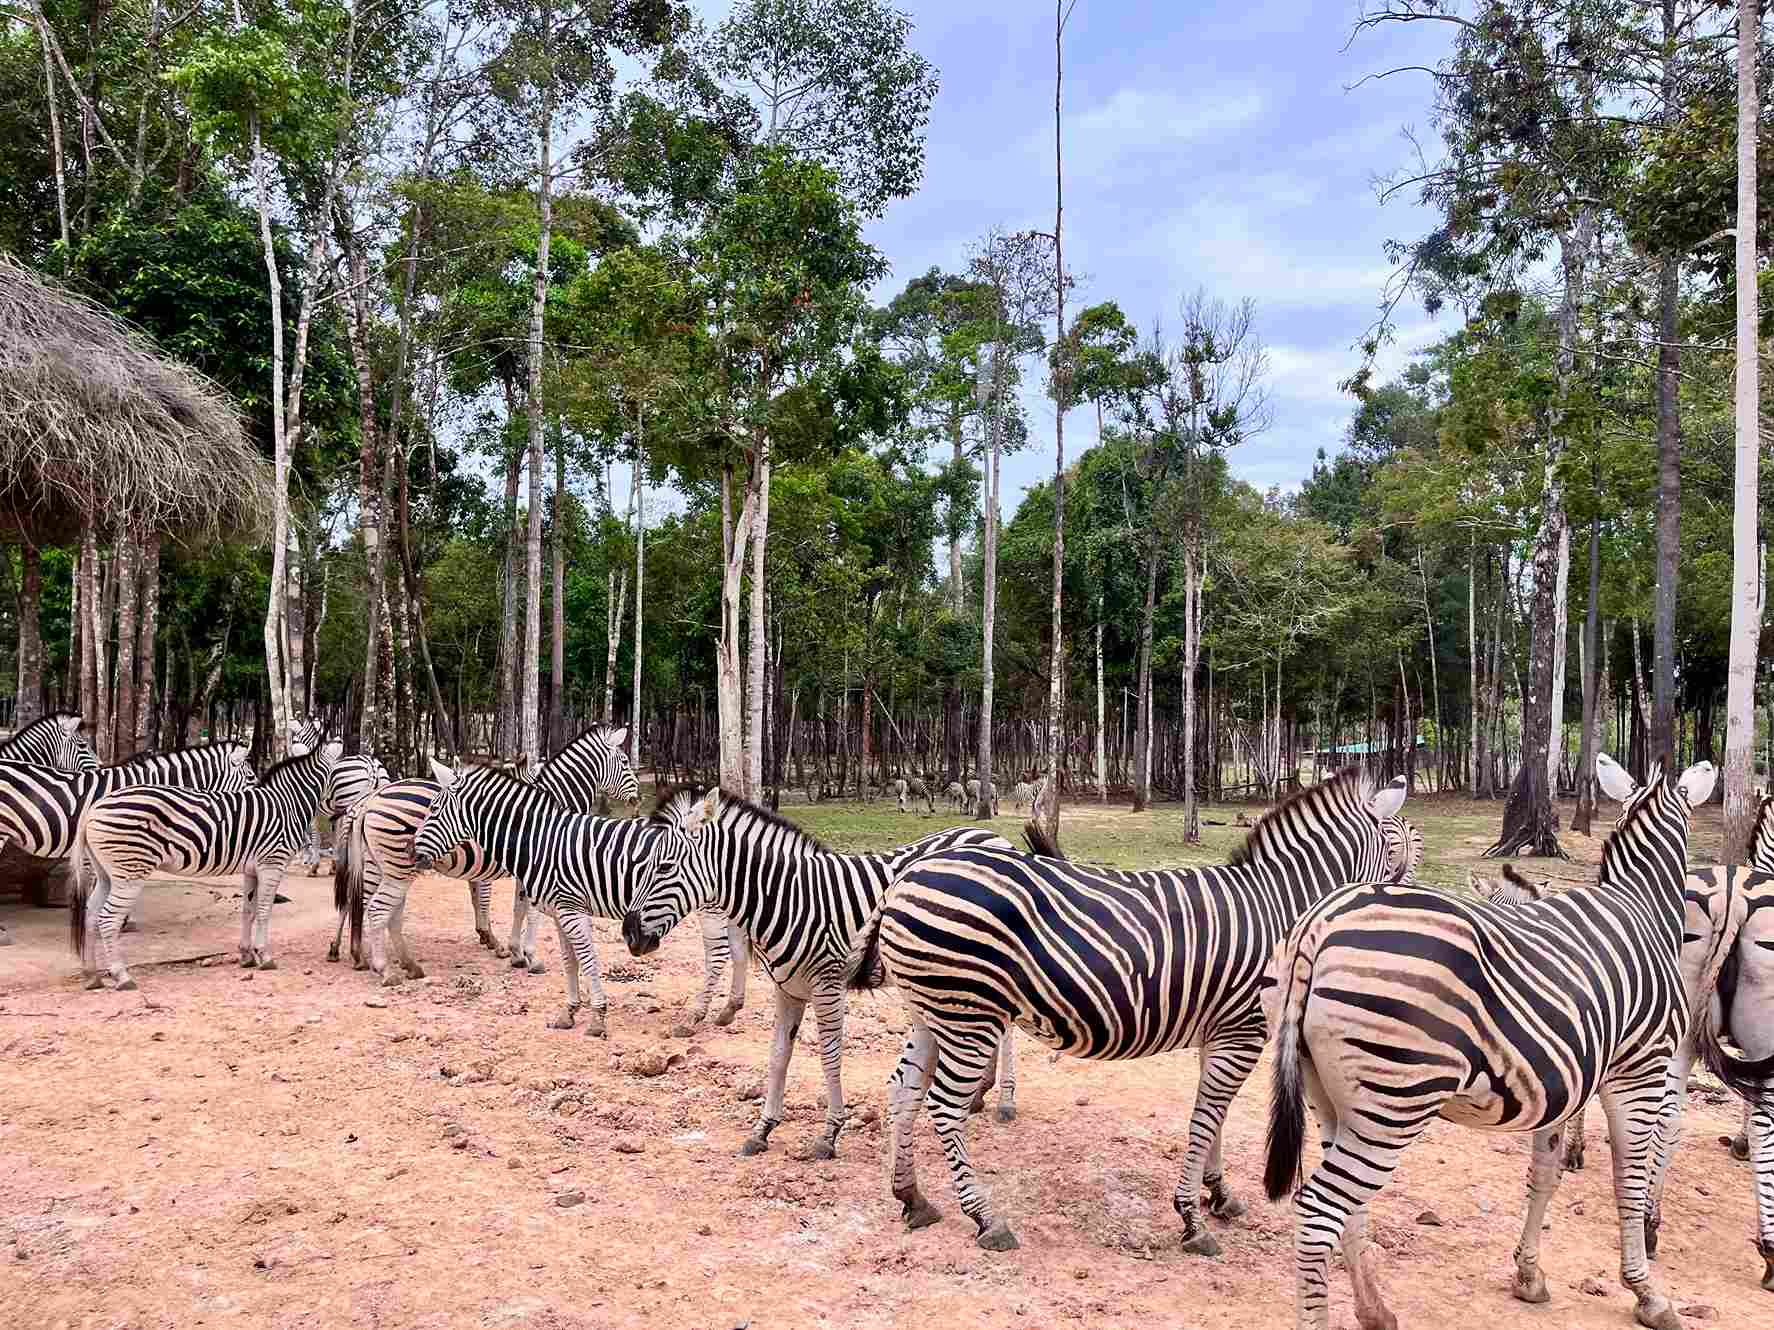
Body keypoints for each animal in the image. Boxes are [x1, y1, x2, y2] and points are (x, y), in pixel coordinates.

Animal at [73, 741, 342, 993]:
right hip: (130, 872)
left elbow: (248, 911)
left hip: (107, 874)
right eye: (341, 776)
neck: (287, 803)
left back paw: (92, 975)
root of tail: (94, 808)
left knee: (91, 913)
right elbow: (265, 911)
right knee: (108, 919)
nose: (338, 817)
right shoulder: (272, 863)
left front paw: (246, 955)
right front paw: (265, 956)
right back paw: (121, 976)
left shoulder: (251, 869)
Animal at [411, 758, 674, 1042]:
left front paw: (596, 1017)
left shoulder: (569, 907)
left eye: (434, 809)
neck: (542, 838)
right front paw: (569, 1010)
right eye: (624, 762)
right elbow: (569, 958)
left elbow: (582, 957)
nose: (412, 853)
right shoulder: (559, 907)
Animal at [624, 790, 1014, 1163]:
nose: (630, 934)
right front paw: (762, 1129)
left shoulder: (827, 986)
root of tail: (996, 837)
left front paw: (829, 1135)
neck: (788, 899)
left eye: (664, 867)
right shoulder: (787, 989)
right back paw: (979, 1095)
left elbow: (830, 1056)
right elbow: (778, 1056)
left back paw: (1004, 1102)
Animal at [837, 776, 1405, 1255]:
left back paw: (912, 1197)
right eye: (1398, 848)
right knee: (944, 1108)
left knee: (903, 1090)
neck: (1280, 908)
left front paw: (1218, 1194)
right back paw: (985, 1218)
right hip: (968, 1014)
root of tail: (904, 879)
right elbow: (1205, 1119)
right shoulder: (1242, 1031)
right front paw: (1191, 1219)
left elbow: (1215, 1118)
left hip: (931, 1010)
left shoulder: (1219, 1032)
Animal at [1263, 758, 1717, 1330]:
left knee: (1350, 1208)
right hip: (1394, 1102)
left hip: (1332, 1096)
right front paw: (1647, 1294)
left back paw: (1377, 1311)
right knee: (1318, 1214)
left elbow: (1544, 1175)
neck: (1641, 904)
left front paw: (1529, 1276)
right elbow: (1630, 1183)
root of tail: (1319, 925)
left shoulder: (1566, 1084)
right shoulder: (1640, 1070)